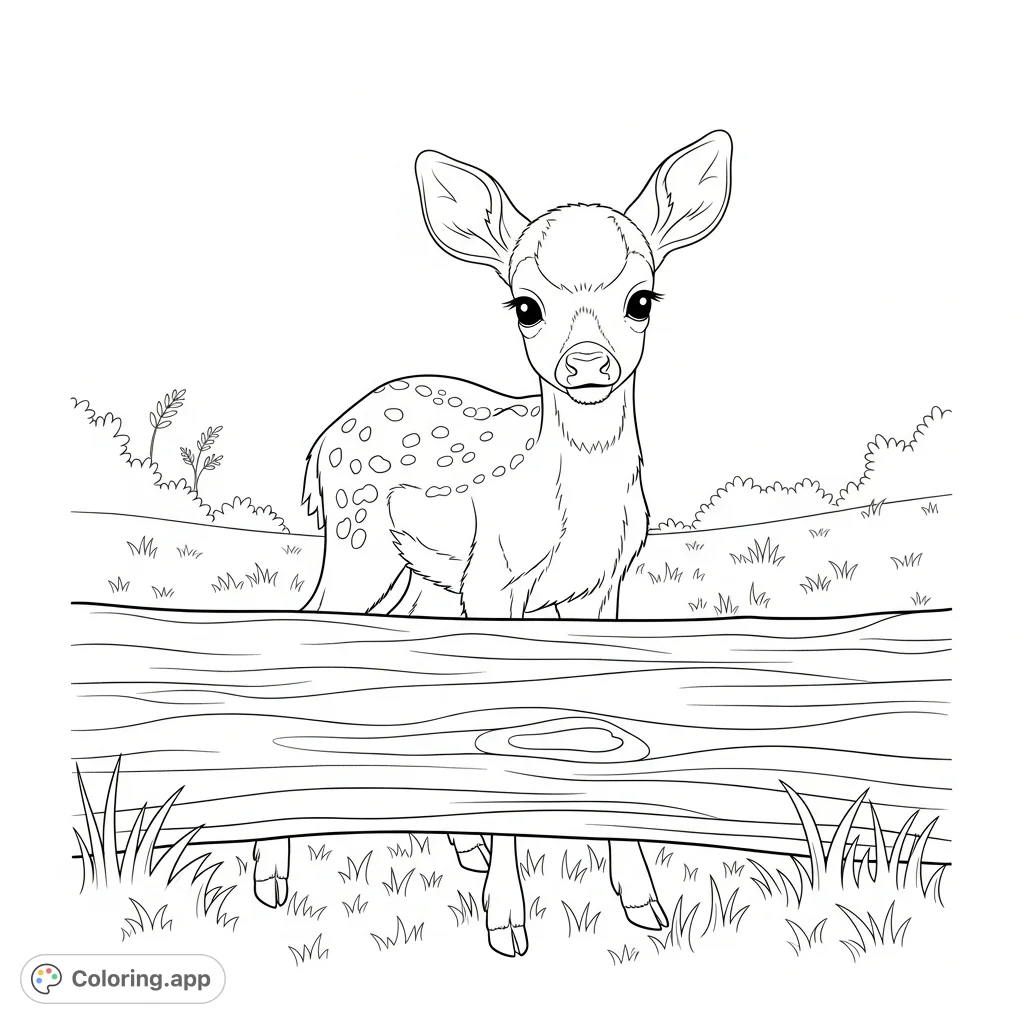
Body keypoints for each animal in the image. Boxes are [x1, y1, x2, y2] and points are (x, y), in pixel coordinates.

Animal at [252, 131, 733, 957]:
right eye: (526, 306)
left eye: (641, 299)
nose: (587, 365)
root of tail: (318, 446)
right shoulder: (495, 580)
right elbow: (501, 709)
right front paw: (507, 922)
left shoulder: (602, 589)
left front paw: (642, 901)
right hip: (357, 543)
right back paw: (273, 877)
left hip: (413, 575)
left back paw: (458, 844)